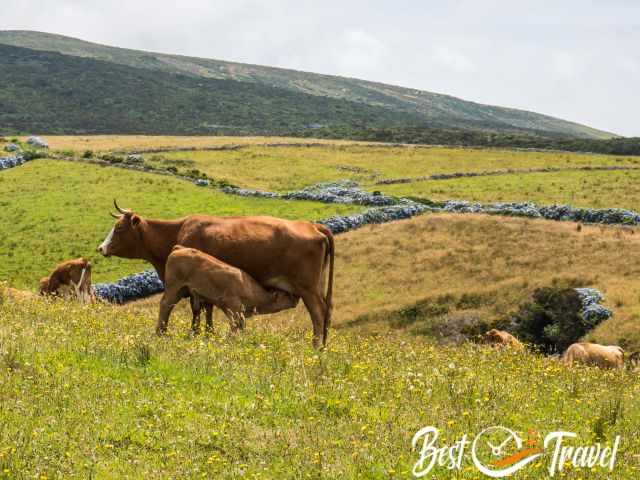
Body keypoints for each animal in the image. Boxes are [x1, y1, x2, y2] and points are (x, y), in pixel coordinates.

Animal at [159, 248, 302, 334]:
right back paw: (161, 332)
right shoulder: (232, 306)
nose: (297, 297)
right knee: (166, 305)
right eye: (286, 294)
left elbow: (241, 325)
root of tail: (179, 249)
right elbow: (235, 325)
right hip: (174, 288)